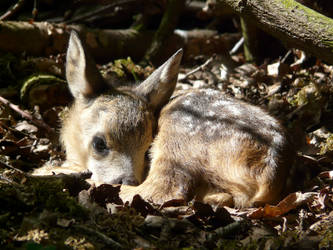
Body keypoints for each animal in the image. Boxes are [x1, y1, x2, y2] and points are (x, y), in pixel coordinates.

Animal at [34, 30, 294, 207]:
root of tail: (271, 176)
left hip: (179, 135)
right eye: (99, 144)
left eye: (146, 147)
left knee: (162, 188)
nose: (127, 179)